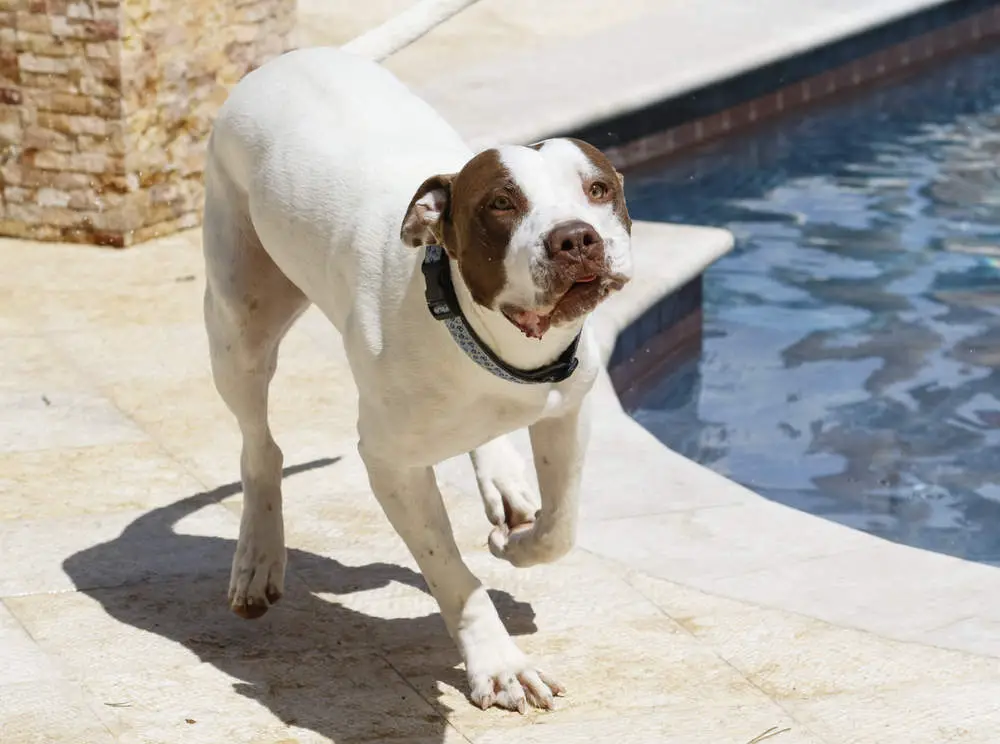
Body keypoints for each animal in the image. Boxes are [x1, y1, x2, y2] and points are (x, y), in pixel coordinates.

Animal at [203, 48, 632, 716]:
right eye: (501, 204)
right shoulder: (391, 464)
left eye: (598, 189)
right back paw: (257, 555)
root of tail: (295, 57)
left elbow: (561, 528)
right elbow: (451, 572)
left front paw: (519, 547)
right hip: (238, 326)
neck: (489, 344)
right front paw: (500, 664)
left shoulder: (569, 408)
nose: (575, 237)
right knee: (260, 447)